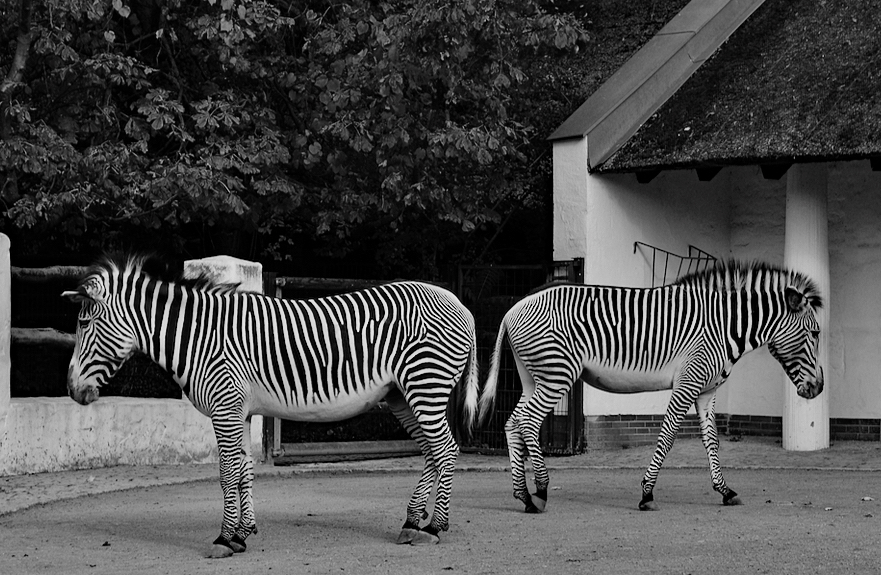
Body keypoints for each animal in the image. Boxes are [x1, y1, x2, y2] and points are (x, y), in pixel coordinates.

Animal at [64, 253, 478, 560]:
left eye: (84, 324)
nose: (71, 390)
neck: (199, 337)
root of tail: (460, 303)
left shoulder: (225, 406)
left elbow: (226, 473)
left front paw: (224, 539)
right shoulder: (241, 410)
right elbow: (243, 471)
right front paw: (243, 532)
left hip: (425, 384)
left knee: (446, 450)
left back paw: (433, 527)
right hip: (401, 395)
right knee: (431, 452)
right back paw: (412, 523)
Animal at [478, 260, 820, 512]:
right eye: (816, 333)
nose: (818, 389)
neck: (723, 327)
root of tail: (513, 309)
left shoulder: (707, 391)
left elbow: (711, 441)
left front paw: (725, 491)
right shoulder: (688, 381)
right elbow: (667, 436)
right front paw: (647, 494)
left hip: (533, 377)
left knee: (512, 423)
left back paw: (524, 496)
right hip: (557, 374)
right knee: (527, 422)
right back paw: (542, 490)